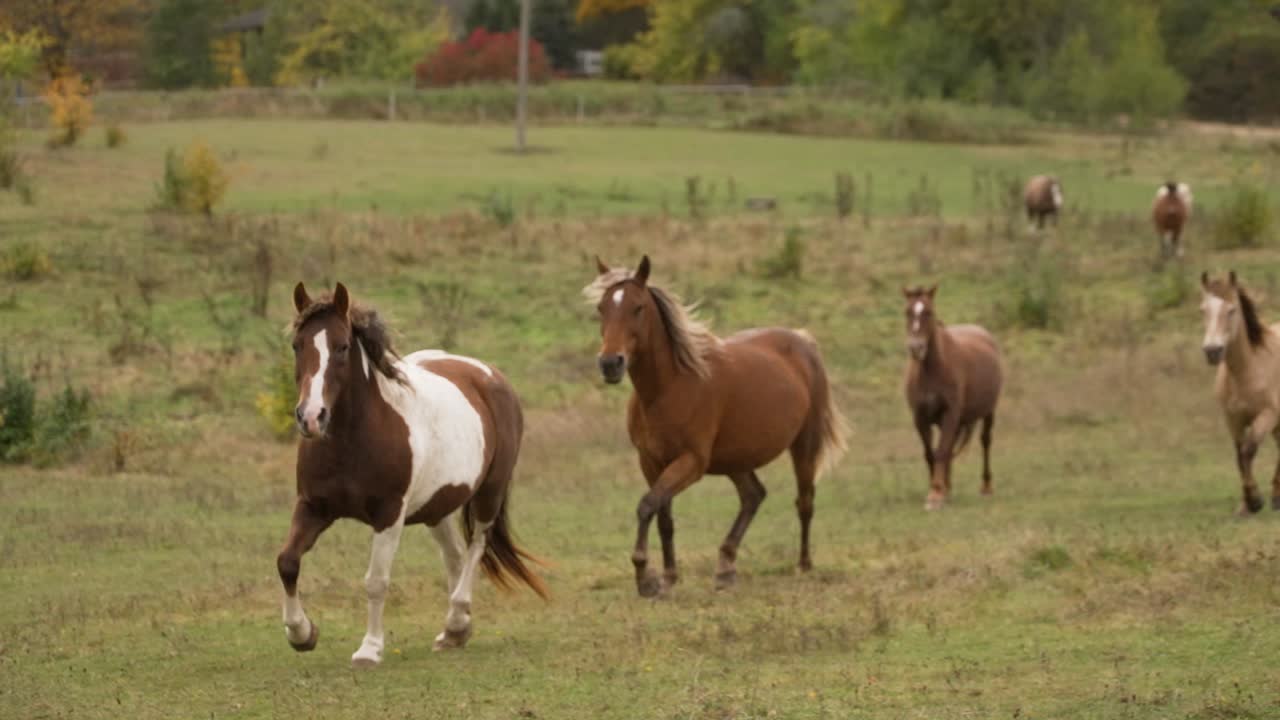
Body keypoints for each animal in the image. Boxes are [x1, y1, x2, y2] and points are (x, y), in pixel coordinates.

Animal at [277, 281, 547, 667]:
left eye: (342, 346)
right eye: (297, 345)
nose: (311, 417)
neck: (352, 439)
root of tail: (490, 374)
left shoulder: (389, 515)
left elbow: (376, 580)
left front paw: (369, 649)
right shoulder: (313, 506)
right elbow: (287, 561)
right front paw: (301, 633)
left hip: (489, 494)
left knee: (476, 547)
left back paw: (455, 621)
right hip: (437, 506)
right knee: (455, 556)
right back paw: (456, 631)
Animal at [585, 256, 848, 596]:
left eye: (638, 307)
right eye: (601, 307)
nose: (610, 363)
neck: (669, 388)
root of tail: (802, 340)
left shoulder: (692, 462)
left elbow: (647, 505)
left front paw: (645, 577)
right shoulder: (651, 461)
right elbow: (663, 516)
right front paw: (668, 576)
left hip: (804, 444)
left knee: (804, 501)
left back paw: (803, 565)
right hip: (736, 459)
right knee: (753, 496)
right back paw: (725, 567)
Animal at [902, 285, 1004, 511]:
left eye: (929, 312)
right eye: (907, 312)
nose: (916, 348)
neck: (931, 371)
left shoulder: (950, 414)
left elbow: (941, 451)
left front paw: (936, 494)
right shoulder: (920, 418)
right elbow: (931, 453)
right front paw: (938, 490)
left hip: (988, 412)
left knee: (985, 441)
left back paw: (986, 486)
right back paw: (948, 487)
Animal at [1200, 271, 1280, 515]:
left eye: (1231, 310)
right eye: (1203, 310)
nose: (1212, 351)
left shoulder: (1267, 416)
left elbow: (1248, 450)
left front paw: (1255, 500)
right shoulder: (1232, 419)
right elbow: (1239, 456)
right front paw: (1246, 505)